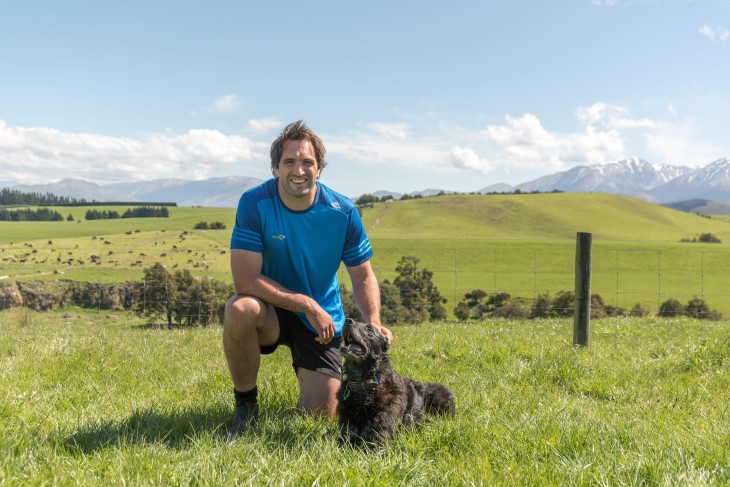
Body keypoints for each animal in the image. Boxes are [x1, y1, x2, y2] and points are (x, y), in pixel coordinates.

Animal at [336, 318, 456, 448]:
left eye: (370, 330)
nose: (347, 320)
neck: (365, 382)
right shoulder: (346, 436)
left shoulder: (379, 440)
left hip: (440, 396)